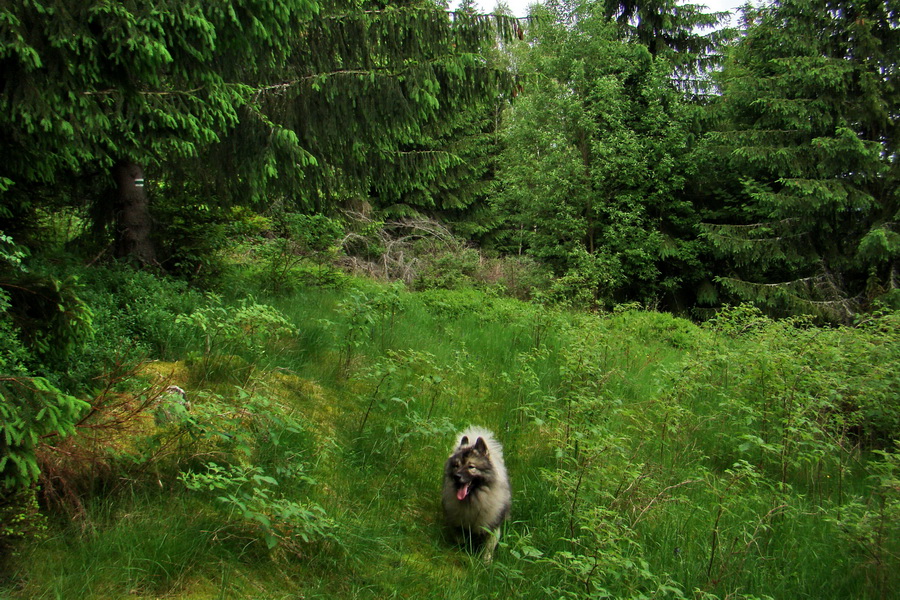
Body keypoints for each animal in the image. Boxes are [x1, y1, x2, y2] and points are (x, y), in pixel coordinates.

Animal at [442, 424, 510, 560]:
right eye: (456, 465)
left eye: (471, 467)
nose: (456, 476)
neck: (472, 500)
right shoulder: (457, 523)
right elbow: (459, 538)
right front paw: (462, 548)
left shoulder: (492, 526)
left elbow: (488, 547)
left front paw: (485, 561)